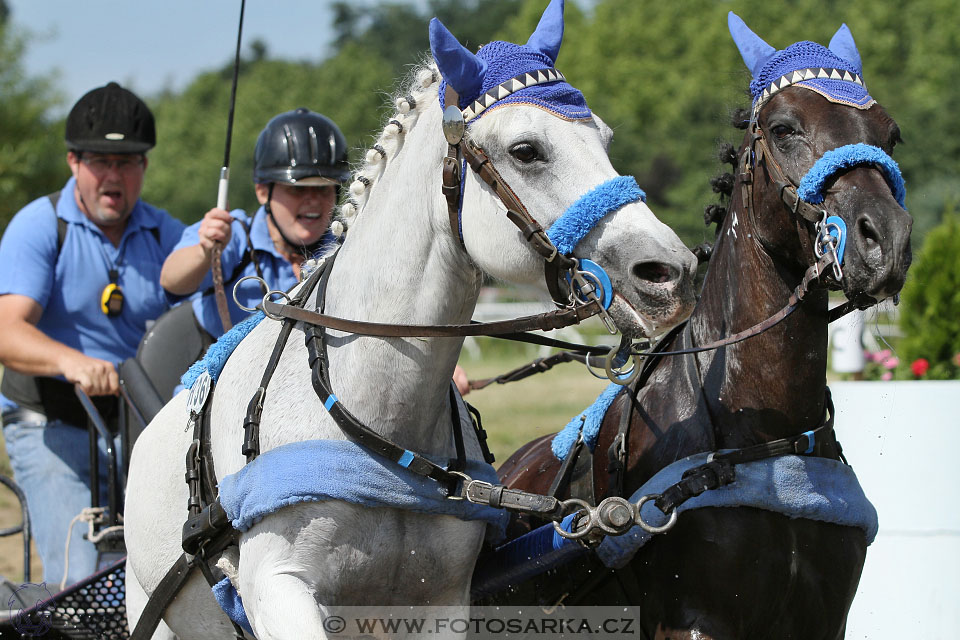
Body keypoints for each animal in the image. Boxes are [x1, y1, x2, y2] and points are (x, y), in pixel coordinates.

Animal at [125, 2, 696, 636]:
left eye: (605, 137)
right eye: (526, 149)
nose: (669, 273)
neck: (373, 416)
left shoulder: (441, 601)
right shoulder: (278, 590)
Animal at [484, 15, 912, 640]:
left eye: (891, 134)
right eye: (783, 128)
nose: (886, 240)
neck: (764, 443)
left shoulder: (823, 617)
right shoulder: (696, 620)